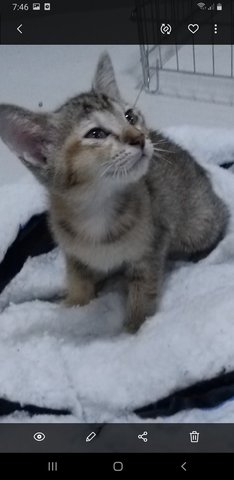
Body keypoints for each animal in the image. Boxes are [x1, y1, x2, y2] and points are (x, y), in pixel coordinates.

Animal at [0, 51, 229, 330]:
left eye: (130, 116)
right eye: (96, 133)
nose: (140, 138)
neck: (97, 210)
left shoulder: (151, 248)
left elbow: (143, 293)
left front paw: (135, 330)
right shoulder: (73, 255)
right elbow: (79, 283)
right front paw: (74, 306)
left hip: (198, 225)